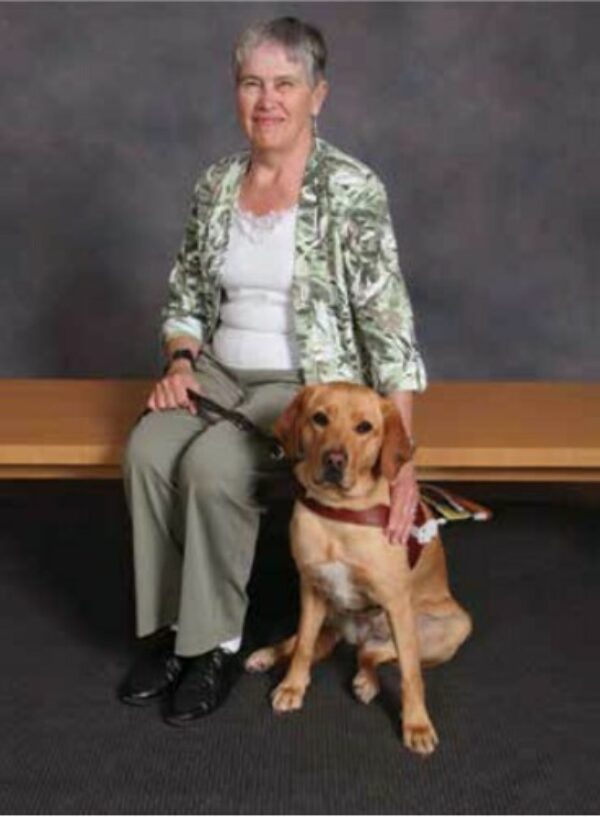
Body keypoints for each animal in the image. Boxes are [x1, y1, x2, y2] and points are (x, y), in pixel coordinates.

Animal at [245, 380, 474, 752]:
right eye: (319, 419)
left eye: (364, 427)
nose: (334, 460)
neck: (340, 513)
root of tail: (356, 634)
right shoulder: (311, 588)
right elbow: (303, 647)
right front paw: (293, 686)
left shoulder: (396, 603)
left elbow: (411, 674)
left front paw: (416, 724)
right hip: (328, 615)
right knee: (314, 644)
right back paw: (267, 654)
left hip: (450, 626)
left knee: (375, 654)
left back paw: (367, 682)